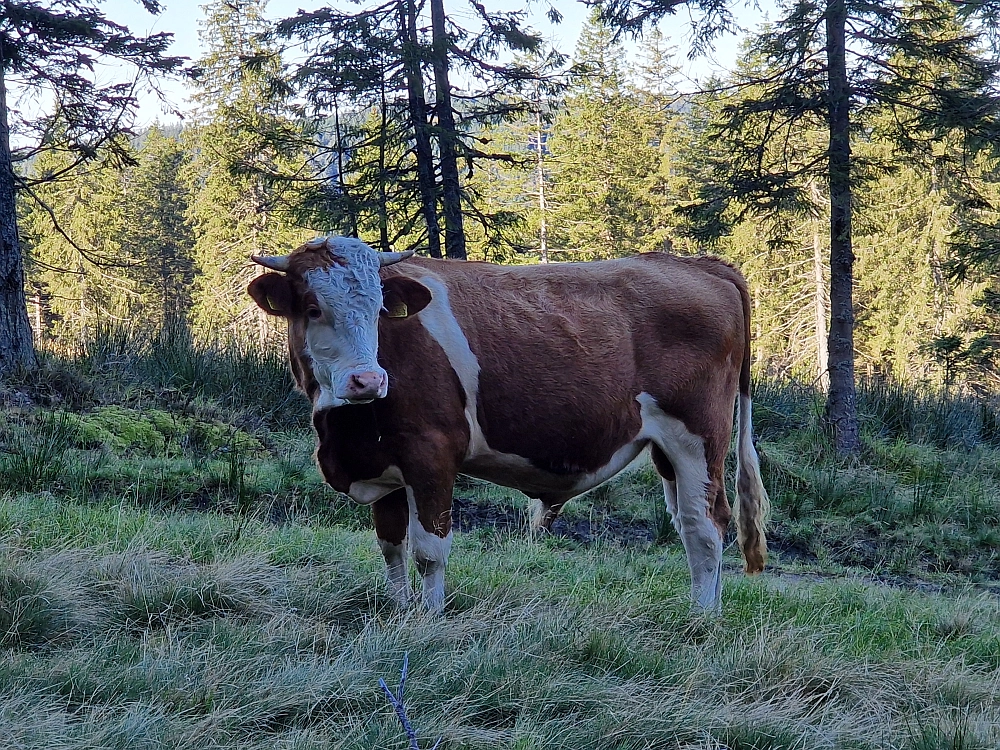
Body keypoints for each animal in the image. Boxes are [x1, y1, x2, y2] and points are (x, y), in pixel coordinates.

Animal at [248, 238, 764, 612]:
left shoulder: (432, 454)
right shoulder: (384, 466)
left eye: (379, 309)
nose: (368, 380)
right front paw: (398, 612)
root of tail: (703, 265)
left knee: (704, 525)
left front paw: (428, 621)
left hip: (698, 437)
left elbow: (429, 550)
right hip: (666, 449)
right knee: (688, 521)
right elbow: (392, 548)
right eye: (313, 307)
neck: (343, 431)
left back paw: (702, 619)